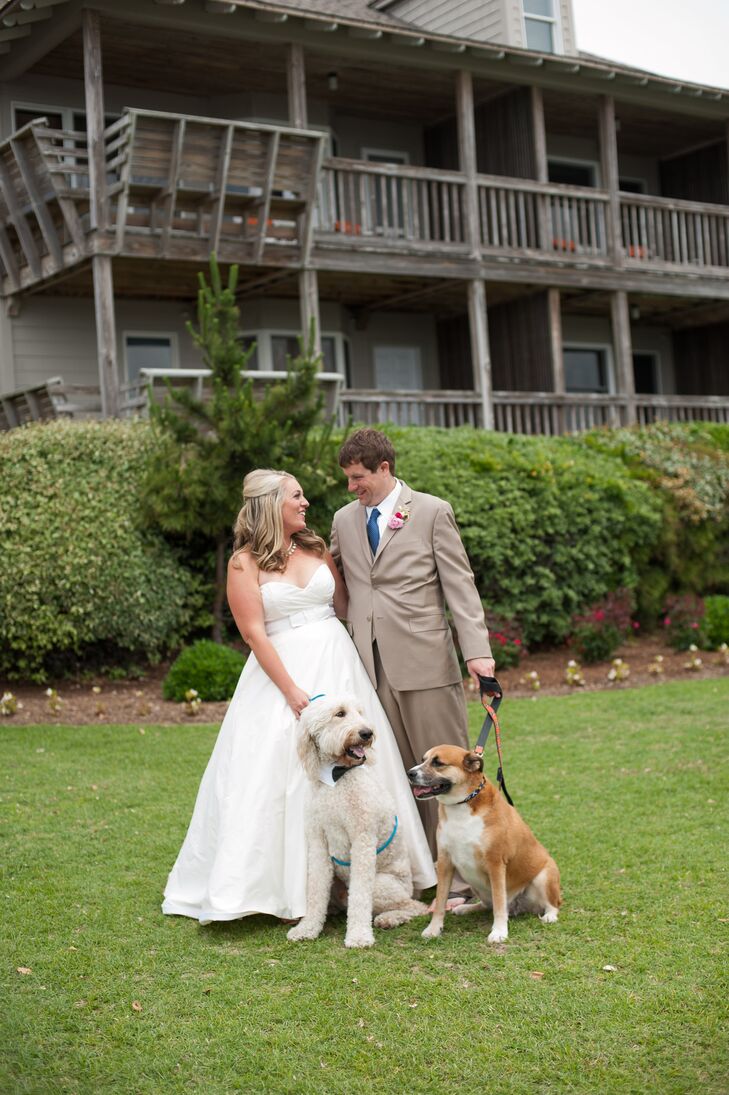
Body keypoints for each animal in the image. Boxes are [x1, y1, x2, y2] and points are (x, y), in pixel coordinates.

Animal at [286, 700, 426, 950]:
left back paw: (389, 918)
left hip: (382, 885)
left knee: (416, 907)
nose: (367, 733)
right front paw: (307, 928)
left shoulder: (362, 839)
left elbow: (360, 897)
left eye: (360, 712)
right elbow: (315, 890)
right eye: (340, 713)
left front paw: (359, 936)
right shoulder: (318, 841)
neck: (337, 778)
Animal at [405, 748, 558, 946]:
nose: (410, 773)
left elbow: (499, 903)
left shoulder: (495, 863)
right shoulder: (445, 862)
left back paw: (550, 915)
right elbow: (440, 902)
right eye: (423, 759)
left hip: (544, 876)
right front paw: (433, 929)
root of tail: (517, 907)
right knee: (487, 905)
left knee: (553, 904)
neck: (462, 805)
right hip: (474, 882)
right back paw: (466, 908)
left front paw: (499, 931)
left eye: (438, 763)